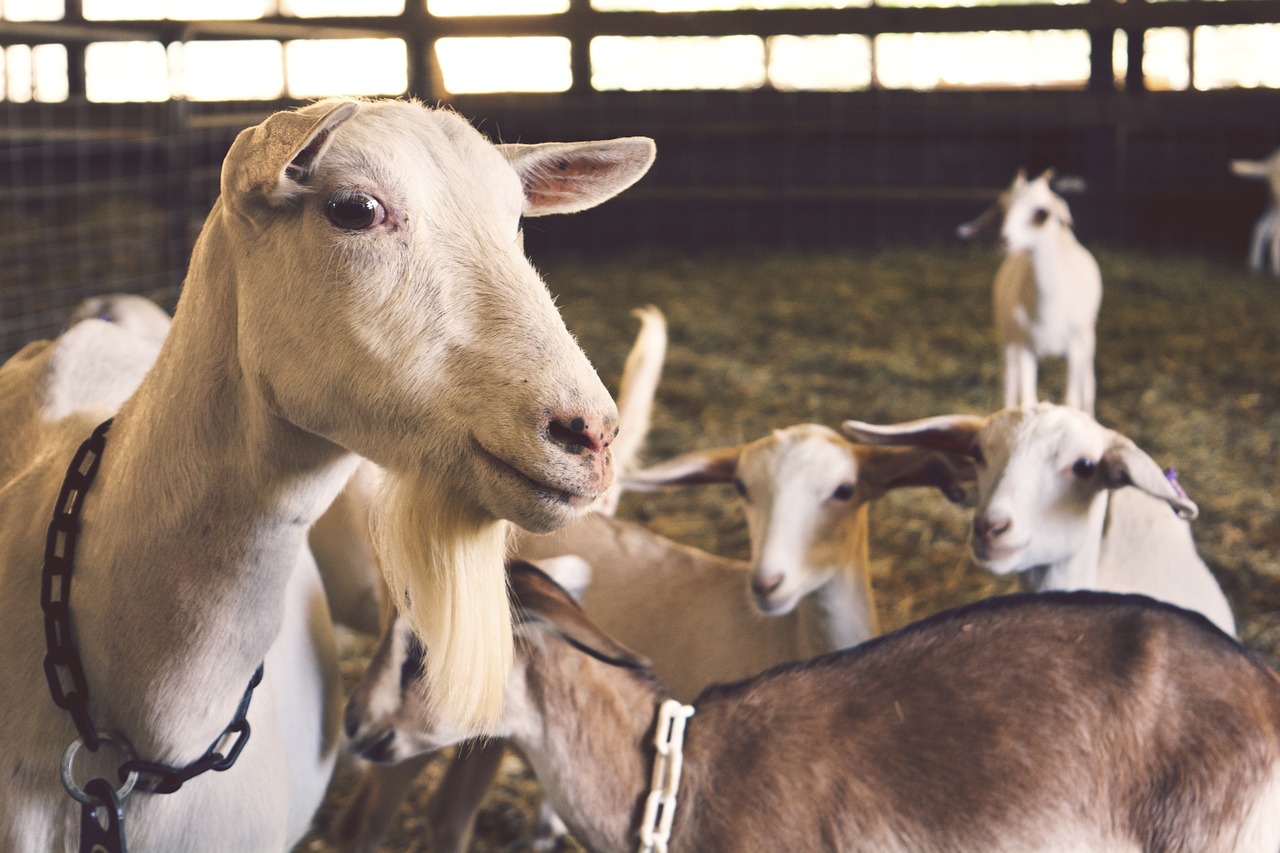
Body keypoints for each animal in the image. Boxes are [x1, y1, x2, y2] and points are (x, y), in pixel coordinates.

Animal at [983, 167, 1105, 412]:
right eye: (1004, 206)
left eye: (1041, 212)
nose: (1004, 240)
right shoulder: (1024, 345)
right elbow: (1027, 399)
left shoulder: (1075, 346)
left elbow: (1072, 401)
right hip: (1007, 339)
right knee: (1009, 384)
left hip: (1088, 337)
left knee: (1089, 386)